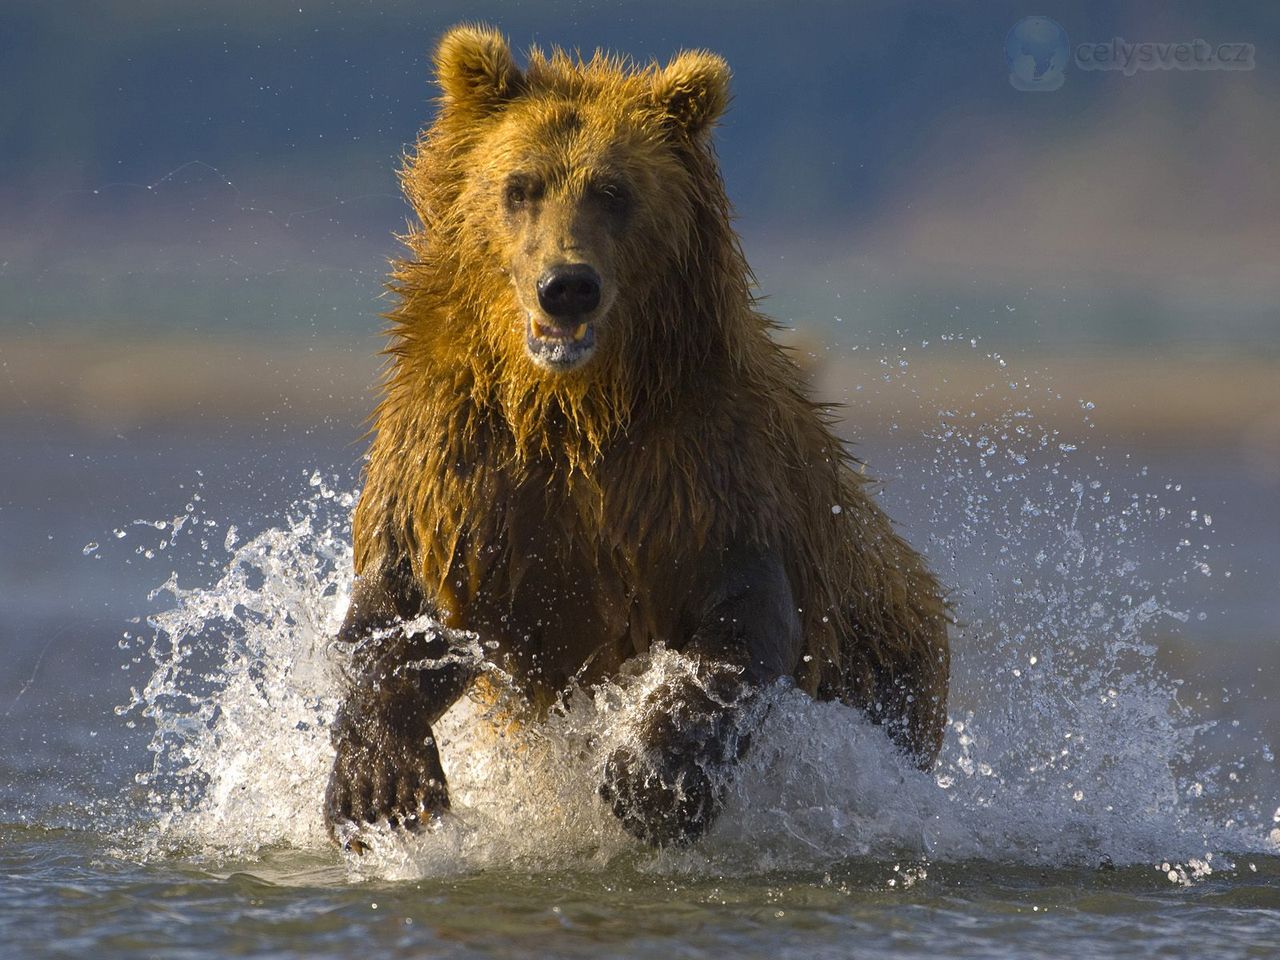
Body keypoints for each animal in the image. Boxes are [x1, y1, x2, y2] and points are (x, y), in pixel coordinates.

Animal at [327, 24, 952, 849]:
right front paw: (379, 787)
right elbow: (403, 611)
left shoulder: (701, 470)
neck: (571, 408)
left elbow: (741, 627)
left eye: (614, 191)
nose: (567, 286)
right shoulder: (461, 458)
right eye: (519, 186)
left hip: (886, 659)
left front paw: (649, 782)